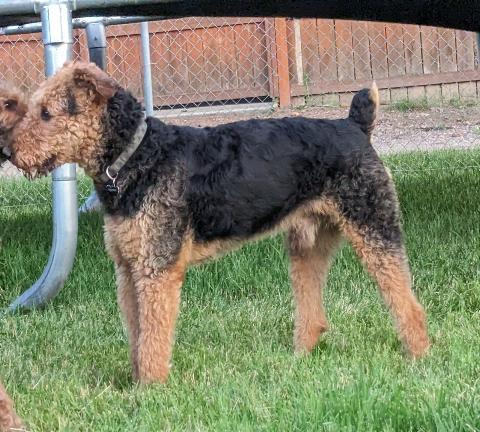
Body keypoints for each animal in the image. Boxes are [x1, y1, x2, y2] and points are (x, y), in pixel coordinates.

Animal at [7, 62, 430, 384]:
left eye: (47, 112)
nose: (9, 151)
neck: (137, 156)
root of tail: (354, 124)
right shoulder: (129, 269)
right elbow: (137, 333)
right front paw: (135, 382)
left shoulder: (157, 270)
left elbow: (153, 335)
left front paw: (149, 390)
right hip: (308, 245)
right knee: (313, 309)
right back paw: (300, 358)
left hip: (374, 227)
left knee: (406, 299)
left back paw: (419, 357)